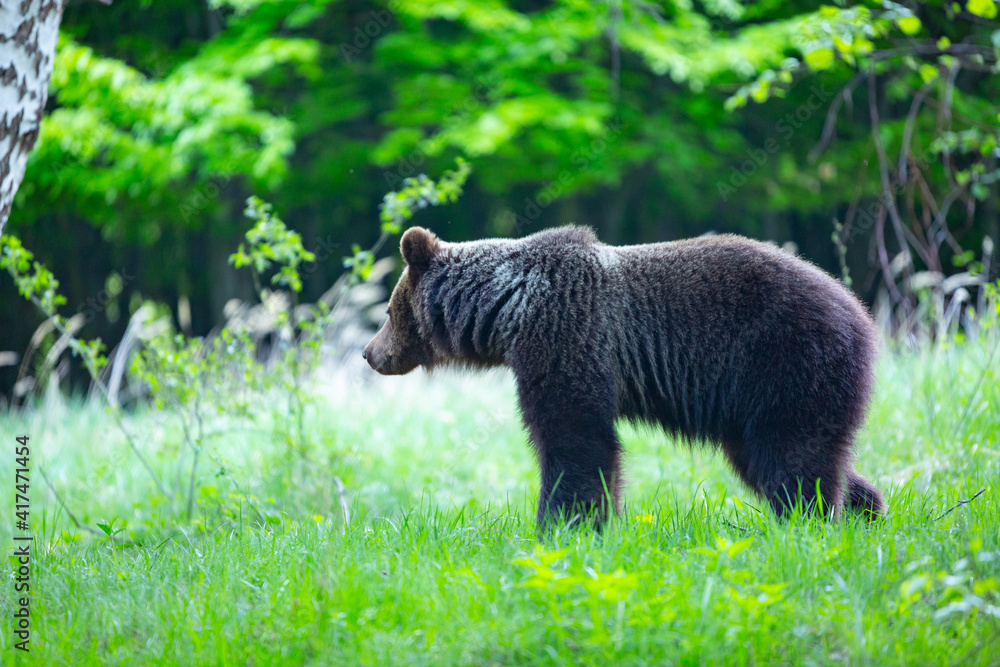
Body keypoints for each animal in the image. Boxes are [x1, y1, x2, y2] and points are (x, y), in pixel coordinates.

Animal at [363, 225, 885, 526]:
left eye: (388, 311)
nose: (369, 353)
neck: (508, 305)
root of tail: (861, 315)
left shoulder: (566, 335)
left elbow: (574, 437)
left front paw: (564, 523)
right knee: (782, 459)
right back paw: (866, 510)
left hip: (786, 362)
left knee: (793, 458)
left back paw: (811, 519)